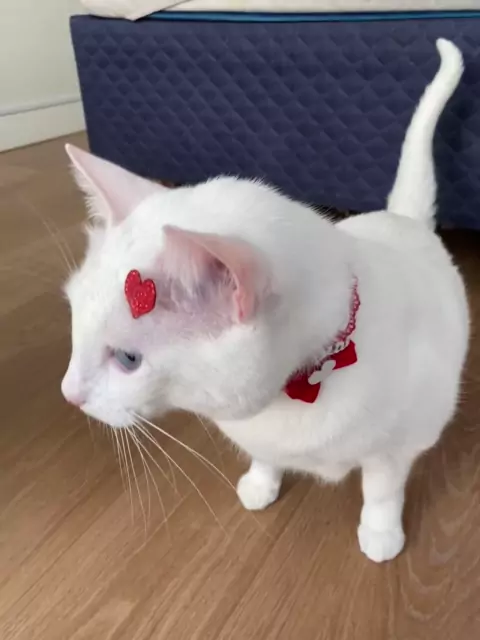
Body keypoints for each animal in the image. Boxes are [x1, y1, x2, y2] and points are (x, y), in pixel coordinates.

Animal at [62, 39, 469, 562]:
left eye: (128, 360)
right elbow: (265, 457)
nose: (68, 395)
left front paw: (380, 533)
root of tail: (400, 218)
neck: (296, 390)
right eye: (74, 324)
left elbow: (381, 489)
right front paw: (261, 484)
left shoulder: (396, 446)